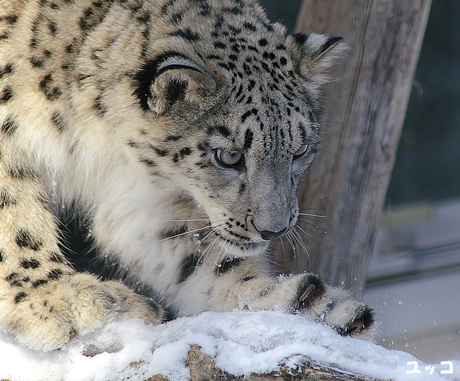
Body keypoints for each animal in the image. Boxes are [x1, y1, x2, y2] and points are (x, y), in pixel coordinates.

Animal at [0, 0, 374, 348]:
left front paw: (304, 305)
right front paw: (59, 298)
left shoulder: (147, 199)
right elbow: (17, 220)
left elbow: (195, 256)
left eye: (299, 150)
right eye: (229, 156)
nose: (274, 230)